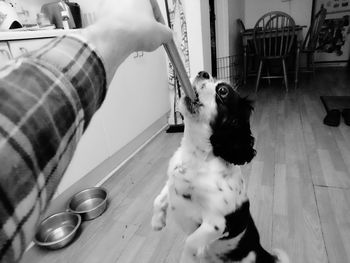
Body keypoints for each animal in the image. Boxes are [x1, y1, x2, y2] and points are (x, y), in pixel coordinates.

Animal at [152, 71, 288, 262]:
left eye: (223, 91)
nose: (203, 72)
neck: (197, 156)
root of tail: (261, 251)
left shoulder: (216, 223)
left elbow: (191, 241)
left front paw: (187, 257)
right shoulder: (172, 182)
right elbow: (159, 199)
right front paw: (157, 222)